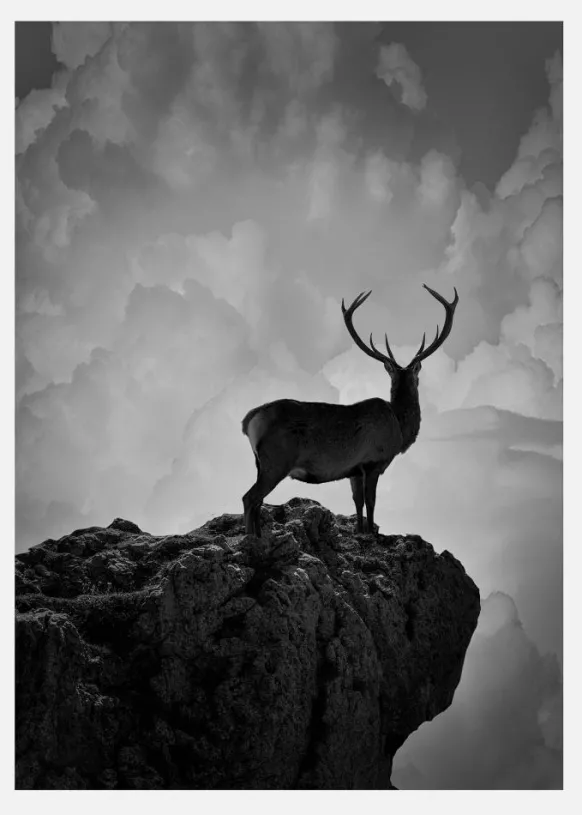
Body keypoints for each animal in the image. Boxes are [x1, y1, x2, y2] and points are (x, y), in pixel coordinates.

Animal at [241, 284, 458, 537]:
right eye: (417, 374)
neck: (399, 428)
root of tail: (248, 421)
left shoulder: (354, 470)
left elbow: (357, 503)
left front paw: (360, 531)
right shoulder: (374, 461)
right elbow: (371, 502)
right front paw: (372, 533)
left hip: (260, 463)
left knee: (257, 501)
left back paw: (258, 536)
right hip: (276, 459)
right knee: (249, 498)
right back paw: (251, 539)